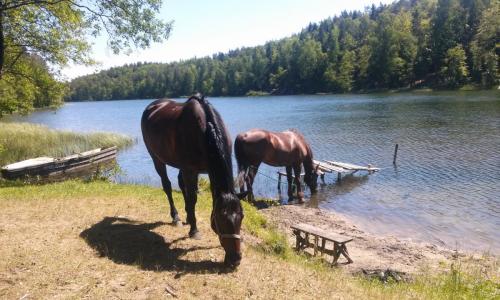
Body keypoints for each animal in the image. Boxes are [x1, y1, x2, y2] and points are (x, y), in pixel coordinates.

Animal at [142, 94, 247, 268]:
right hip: (157, 159)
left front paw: (192, 221)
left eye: (242, 216)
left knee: (181, 184)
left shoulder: (205, 171)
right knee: (167, 186)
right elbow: (193, 198)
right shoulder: (190, 170)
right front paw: (194, 230)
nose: (235, 259)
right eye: (220, 218)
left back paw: (187, 217)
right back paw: (176, 217)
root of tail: (152, 106)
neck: (205, 131)